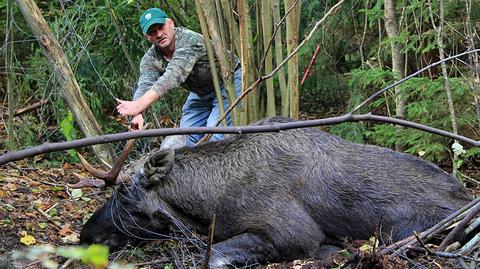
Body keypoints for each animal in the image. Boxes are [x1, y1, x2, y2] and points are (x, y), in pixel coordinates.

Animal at [79, 116, 472, 266]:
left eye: (125, 193)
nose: (84, 234)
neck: (210, 203)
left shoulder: (293, 233)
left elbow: (211, 254)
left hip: (403, 230)